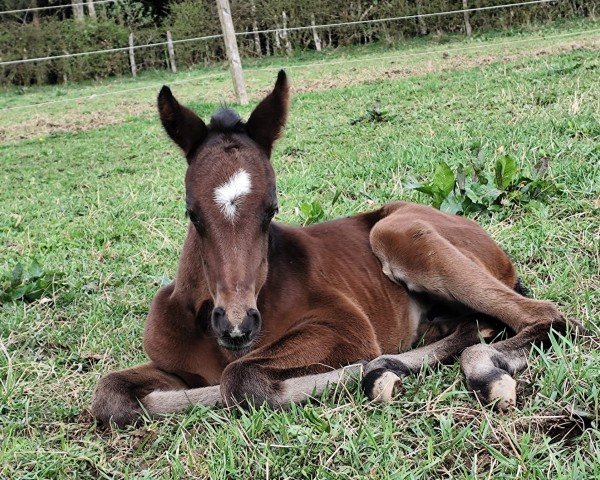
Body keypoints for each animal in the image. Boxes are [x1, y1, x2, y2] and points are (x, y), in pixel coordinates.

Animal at [91, 69, 584, 426]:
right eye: (192, 213)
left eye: (271, 209)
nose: (236, 326)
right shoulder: (171, 364)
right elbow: (110, 396)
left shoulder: (346, 328)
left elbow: (240, 379)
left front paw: (370, 370)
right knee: (477, 324)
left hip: (397, 234)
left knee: (546, 316)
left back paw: (463, 369)